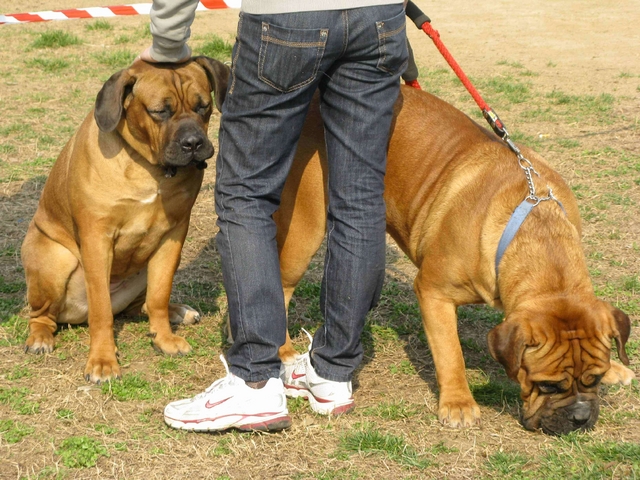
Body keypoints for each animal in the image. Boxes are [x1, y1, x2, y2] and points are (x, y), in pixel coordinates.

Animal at [20, 58, 230, 384]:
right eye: (160, 111)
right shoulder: (97, 239)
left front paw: (164, 339)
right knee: (43, 315)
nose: (194, 142)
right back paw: (41, 337)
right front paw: (103, 361)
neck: (149, 167)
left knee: (139, 305)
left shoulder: (173, 235)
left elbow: (158, 294)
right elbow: (102, 311)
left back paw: (177, 311)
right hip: (55, 259)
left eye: (203, 106)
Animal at [276, 85, 636, 436]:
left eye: (595, 378)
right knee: (281, 286)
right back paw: (285, 352)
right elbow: (451, 353)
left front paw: (617, 368)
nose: (580, 417)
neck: (538, 231)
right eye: (546, 385)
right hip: (305, 231)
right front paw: (459, 403)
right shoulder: (434, 291)